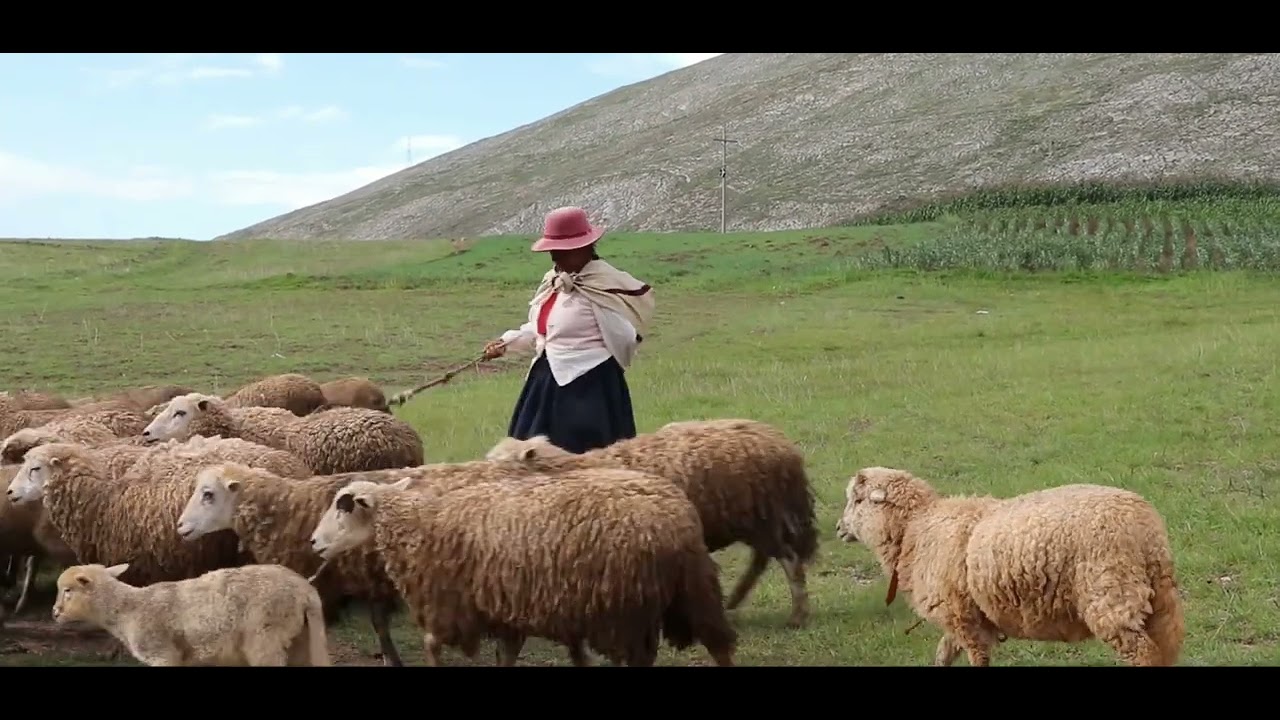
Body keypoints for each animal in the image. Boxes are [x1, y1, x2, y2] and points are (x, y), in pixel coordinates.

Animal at [53, 562, 329, 666]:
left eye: (68, 590)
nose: (54, 613)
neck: (128, 610)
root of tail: (305, 588)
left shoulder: (162, 654)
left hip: (266, 635)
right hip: (300, 637)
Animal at [309, 471, 739, 667]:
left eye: (341, 508)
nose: (314, 543)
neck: (420, 523)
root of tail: (678, 517)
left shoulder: (452, 602)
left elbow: (433, 644)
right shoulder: (503, 605)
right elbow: (507, 653)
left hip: (624, 607)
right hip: (691, 590)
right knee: (718, 643)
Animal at [485, 418, 819, 628]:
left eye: (503, 464)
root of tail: (784, 448)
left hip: (763, 518)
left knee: (788, 560)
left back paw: (797, 616)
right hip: (759, 519)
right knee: (763, 560)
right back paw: (737, 600)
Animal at [834, 466, 1186, 667]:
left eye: (857, 500)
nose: (838, 528)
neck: (917, 529)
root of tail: (1145, 527)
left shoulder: (963, 620)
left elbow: (977, 659)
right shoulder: (960, 617)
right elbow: (943, 654)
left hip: (1110, 593)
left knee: (1143, 654)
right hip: (1157, 597)